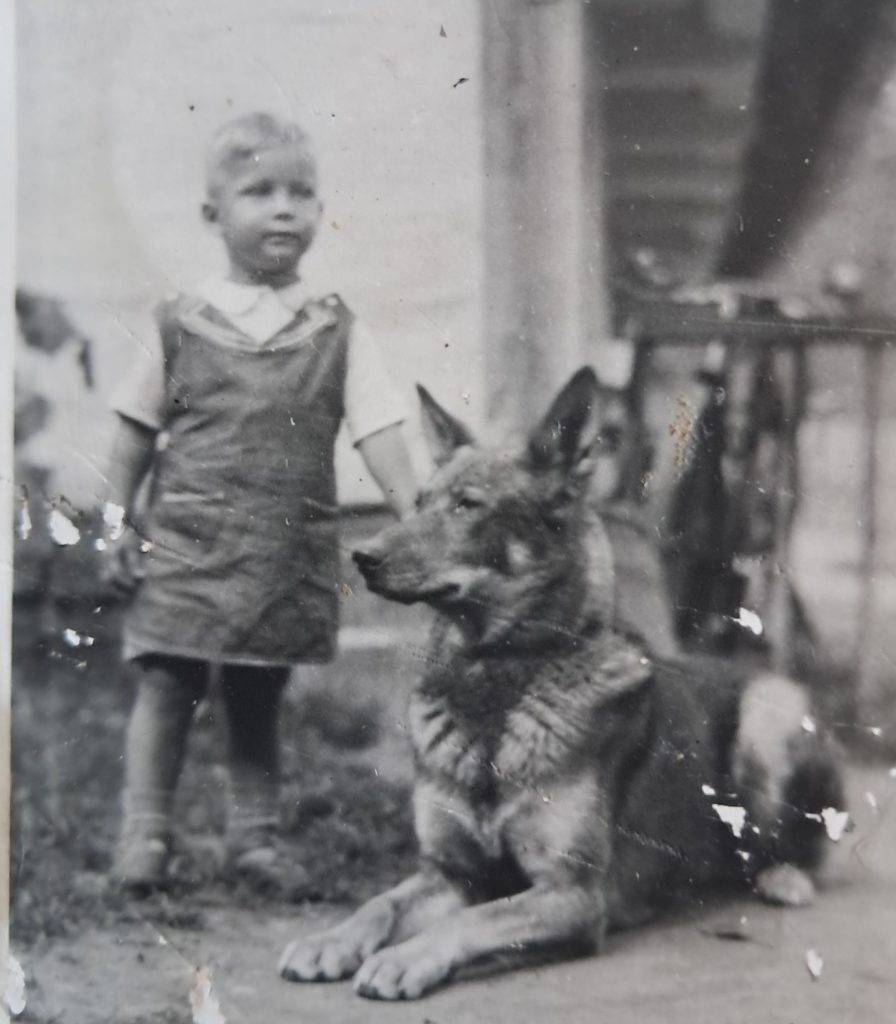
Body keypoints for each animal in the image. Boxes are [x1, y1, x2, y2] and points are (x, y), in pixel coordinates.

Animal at [282, 368, 847, 999]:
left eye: (467, 506)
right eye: (420, 502)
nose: (361, 557)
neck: (499, 672)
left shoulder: (571, 895)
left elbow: (471, 920)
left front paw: (406, 957)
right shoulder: (451, 874)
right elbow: (380, 903)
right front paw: (333, 939)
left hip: (769, 715)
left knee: (796, 844)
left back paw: (783, 877)